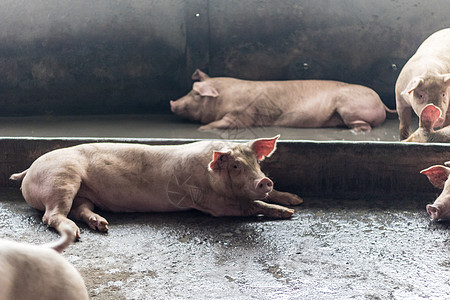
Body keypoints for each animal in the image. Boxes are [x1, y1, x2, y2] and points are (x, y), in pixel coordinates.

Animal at [8, 135, 302, 239]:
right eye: (235, 166)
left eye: (256, 162)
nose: (264, 180)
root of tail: (29, 169)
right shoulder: (209, 202)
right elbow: (249, 205)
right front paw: (289, 214)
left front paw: (295, 200)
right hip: (62, 178)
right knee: (52, 215)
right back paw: (76, 234)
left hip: (84, 192)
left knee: (81, 209)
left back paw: (102, 225)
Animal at [170, 70, 394, 132]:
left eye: (196, 94)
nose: (172, 103)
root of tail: (381, 102)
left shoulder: (241, 114)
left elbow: (226, 123)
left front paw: (202, 129)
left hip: (351, 108)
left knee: (363, 126)